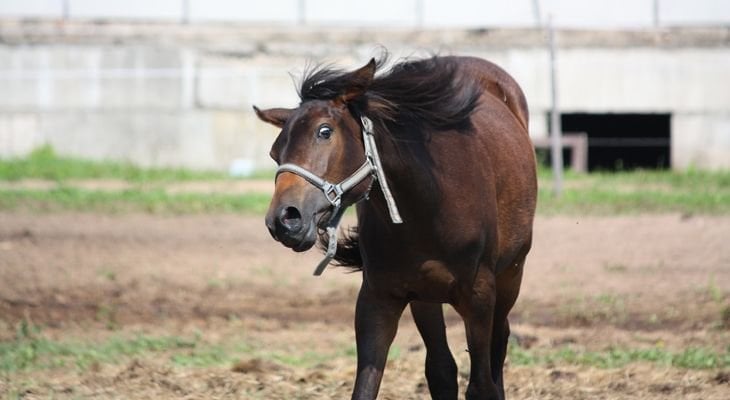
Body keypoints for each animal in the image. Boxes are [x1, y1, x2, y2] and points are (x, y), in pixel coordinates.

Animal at [255, 54, 536, 400]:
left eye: (324, 131)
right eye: (274, 152)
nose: (284, 219)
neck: (428, 205)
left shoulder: (480, 295)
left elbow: (482, 385)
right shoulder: (379, 298)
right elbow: (367, 386)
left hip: (511, 274)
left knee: (499, 341)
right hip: (426, 296)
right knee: (441, 369)